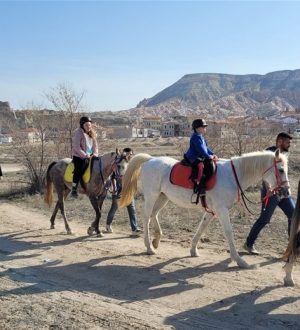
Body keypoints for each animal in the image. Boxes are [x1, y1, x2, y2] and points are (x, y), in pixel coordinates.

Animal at [118, 150, 290, 268]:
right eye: (281, 170)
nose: (286, 192)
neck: (233, 176)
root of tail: (150, 159)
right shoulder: (222, 210)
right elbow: (229, 232)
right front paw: (239, 260)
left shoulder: (212, 211)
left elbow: (202, 227)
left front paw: (193, 250)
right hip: (152, 196)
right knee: (147, 216)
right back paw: (149, 247)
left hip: (163, 197)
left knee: (154, 214)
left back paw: (156, 240)